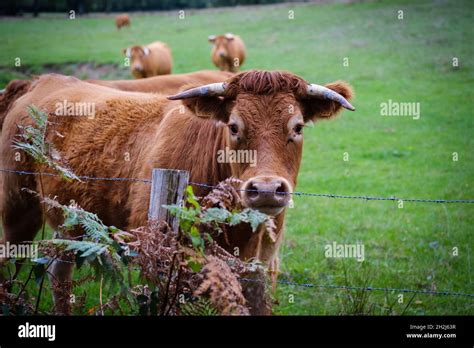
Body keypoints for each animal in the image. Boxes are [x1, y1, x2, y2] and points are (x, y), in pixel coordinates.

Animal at [0, 69, 356, 314]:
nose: (267, 189)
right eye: (234, 127)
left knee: (59, 272)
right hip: (17, 210)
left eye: (297, 127)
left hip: (69, 224)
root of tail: (42, 80)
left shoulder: (261, 271)